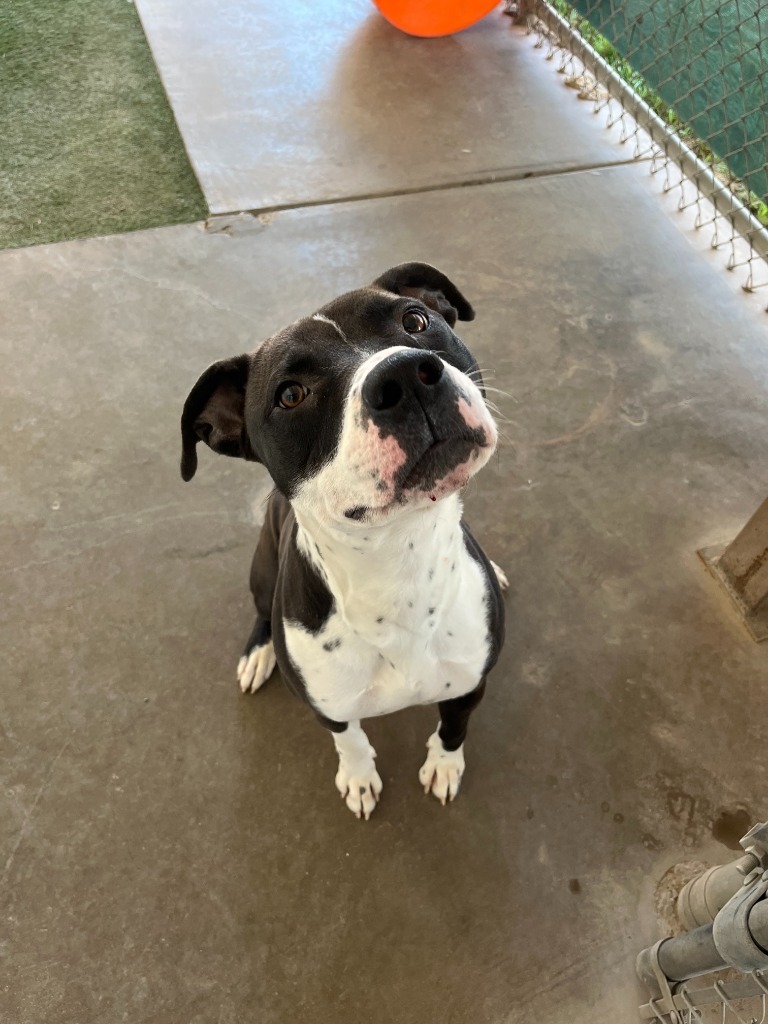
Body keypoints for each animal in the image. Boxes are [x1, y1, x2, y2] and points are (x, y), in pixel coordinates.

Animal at [180, 262, 505, 815]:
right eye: (290, 394)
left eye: (415, 321)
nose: (404, 375)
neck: (399, 567)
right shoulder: (328, 708)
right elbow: (349, 738)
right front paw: (358, 776)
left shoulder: (470, 684)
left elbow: (453, 728)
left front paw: (444, 764)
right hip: (261, 570)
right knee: (259, 609)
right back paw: (259, 652)